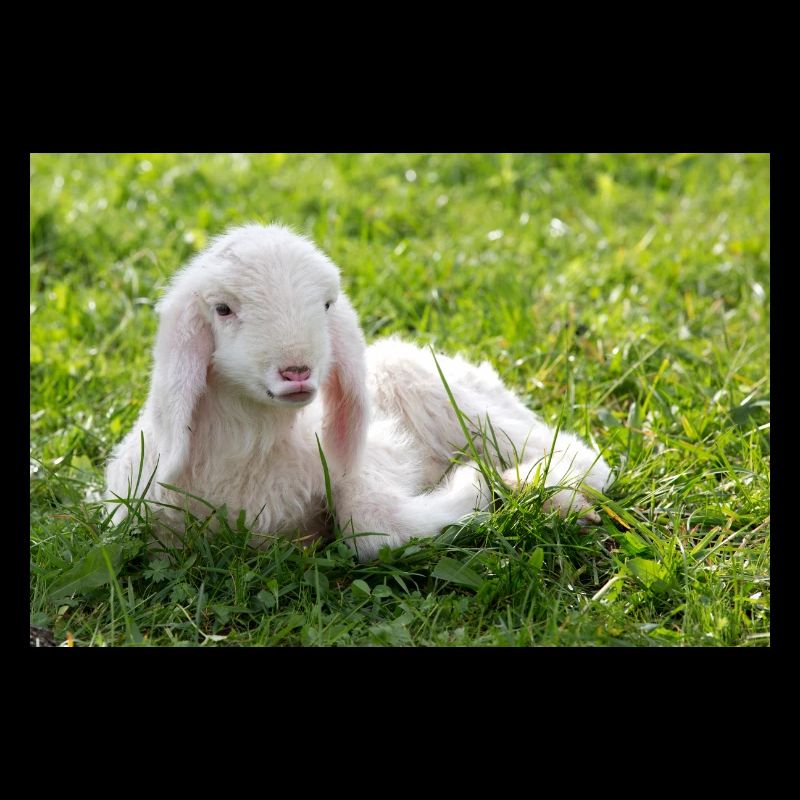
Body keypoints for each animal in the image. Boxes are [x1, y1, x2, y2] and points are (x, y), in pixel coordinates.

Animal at [105, 223, 613, 561]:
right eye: (223, 309)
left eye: (328, 305)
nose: (297, 371)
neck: (254, 445)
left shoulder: (368, 457)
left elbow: (371, 527)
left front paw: (471, 484)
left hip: (438, 391)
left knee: (580, 455)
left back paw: (534, 489)